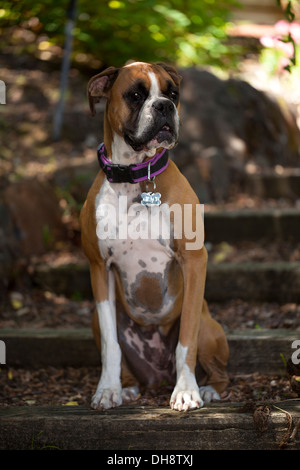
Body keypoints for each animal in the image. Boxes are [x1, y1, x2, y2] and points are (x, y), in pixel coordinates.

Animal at [79, 62, 227, 412]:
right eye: (135, 95)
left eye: (173, 93)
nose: (164, 106)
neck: (135, 178)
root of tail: (157, 376)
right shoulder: (98, 268)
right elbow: (110, 346)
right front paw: (108, 389)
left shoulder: (194, 261)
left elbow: (186, 340)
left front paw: (187, 391)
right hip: (95, 317)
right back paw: (127, 388)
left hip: (210, 326)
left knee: (218, 369)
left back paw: (209, 389)